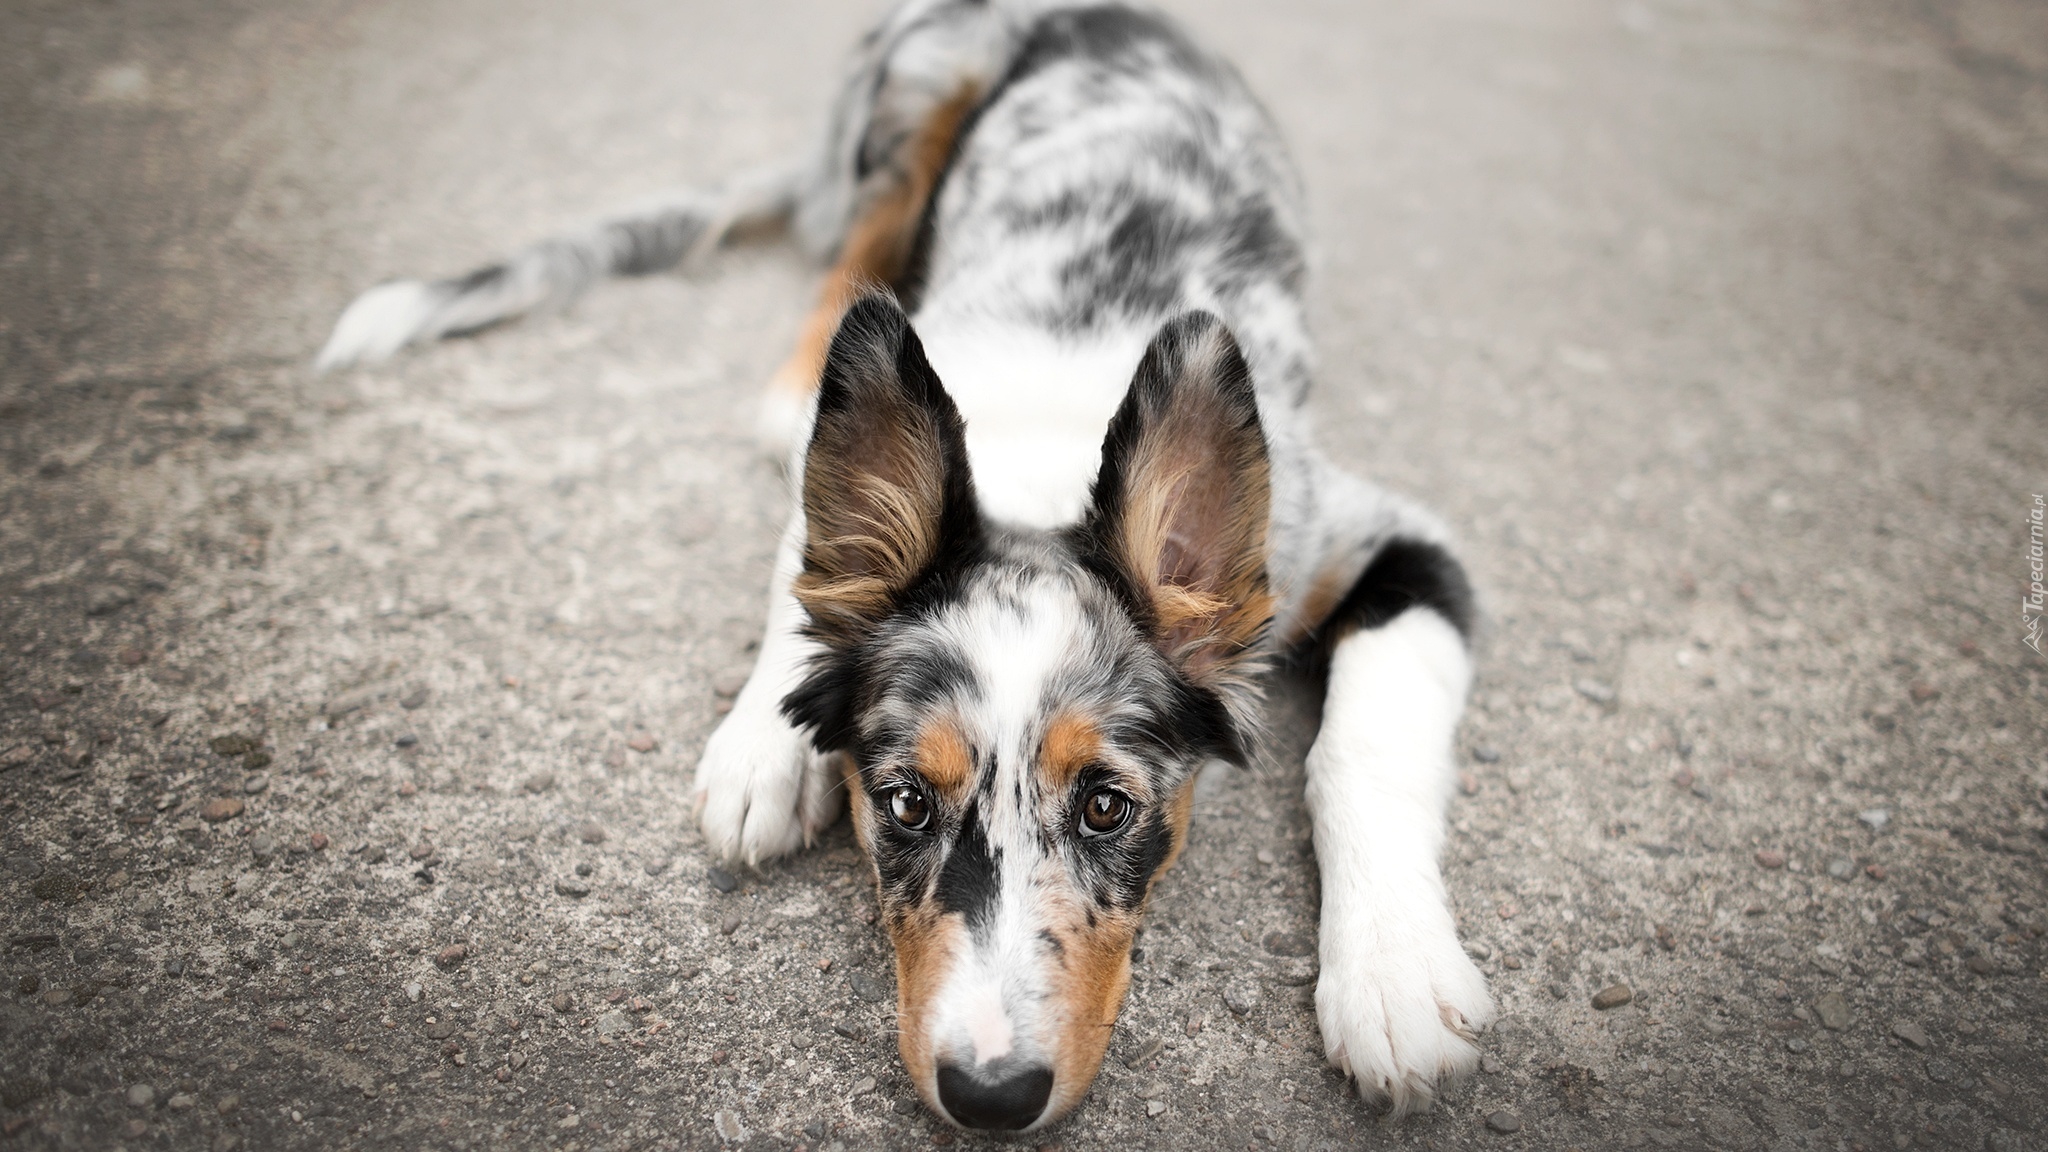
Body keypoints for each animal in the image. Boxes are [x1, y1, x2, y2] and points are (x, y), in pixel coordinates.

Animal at [323, 2, 1507, 1131]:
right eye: (901, 803)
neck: (1038, 467)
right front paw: (763, 746)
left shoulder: (1392, 542)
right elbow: (807, 568)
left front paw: (1396, 978)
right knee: (854, 253)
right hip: (921, 84)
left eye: (1106, 808)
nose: (989, 1095)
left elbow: (1362, 747)